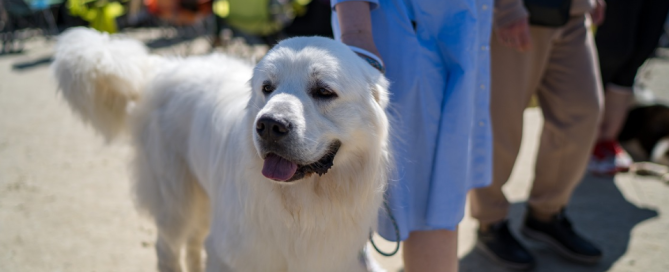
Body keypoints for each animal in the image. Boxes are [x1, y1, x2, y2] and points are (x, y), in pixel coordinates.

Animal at [52, 28, 392, 272]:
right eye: (267, 88)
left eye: (323, 91)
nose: (269, 125)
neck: (302, 206)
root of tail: (164, 66)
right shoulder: (233, 255)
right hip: (176, 199)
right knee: (168, 247)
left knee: (193, 242)